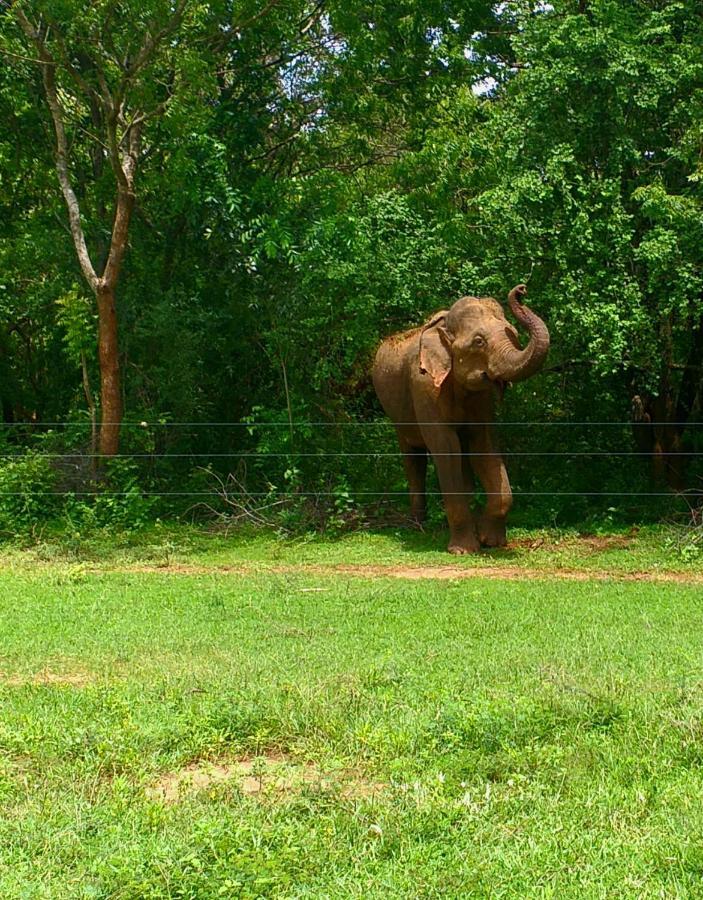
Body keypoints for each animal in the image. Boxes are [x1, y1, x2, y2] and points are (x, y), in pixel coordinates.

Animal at [374, 284, 552, 552]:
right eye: (478, 342)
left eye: (513, 334)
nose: (521, 290)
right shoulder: (424, 388)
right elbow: (446, 449)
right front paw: (463, 550)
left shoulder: (482, 399)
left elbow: (484, 445)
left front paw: (491, 542)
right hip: (397, 413)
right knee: (413, 456)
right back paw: (418, 525)